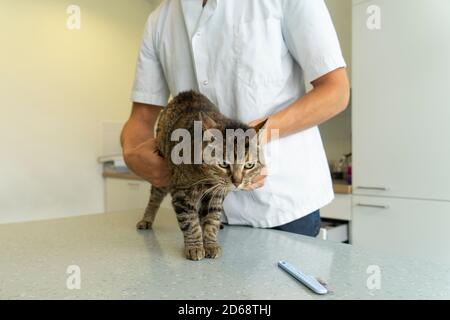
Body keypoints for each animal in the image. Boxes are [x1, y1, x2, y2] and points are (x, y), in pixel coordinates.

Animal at [135, 89, 266, 260]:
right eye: (223, 164)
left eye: (249, 165)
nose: (237, 182)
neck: (207, 179)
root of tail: (186, 93)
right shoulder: (182, 193)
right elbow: (190, 222)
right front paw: (195, 247)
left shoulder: (216, 196)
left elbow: (211, 220)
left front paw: (210, 244)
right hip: (162, 175)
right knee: (154, 198)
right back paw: (146, 219)